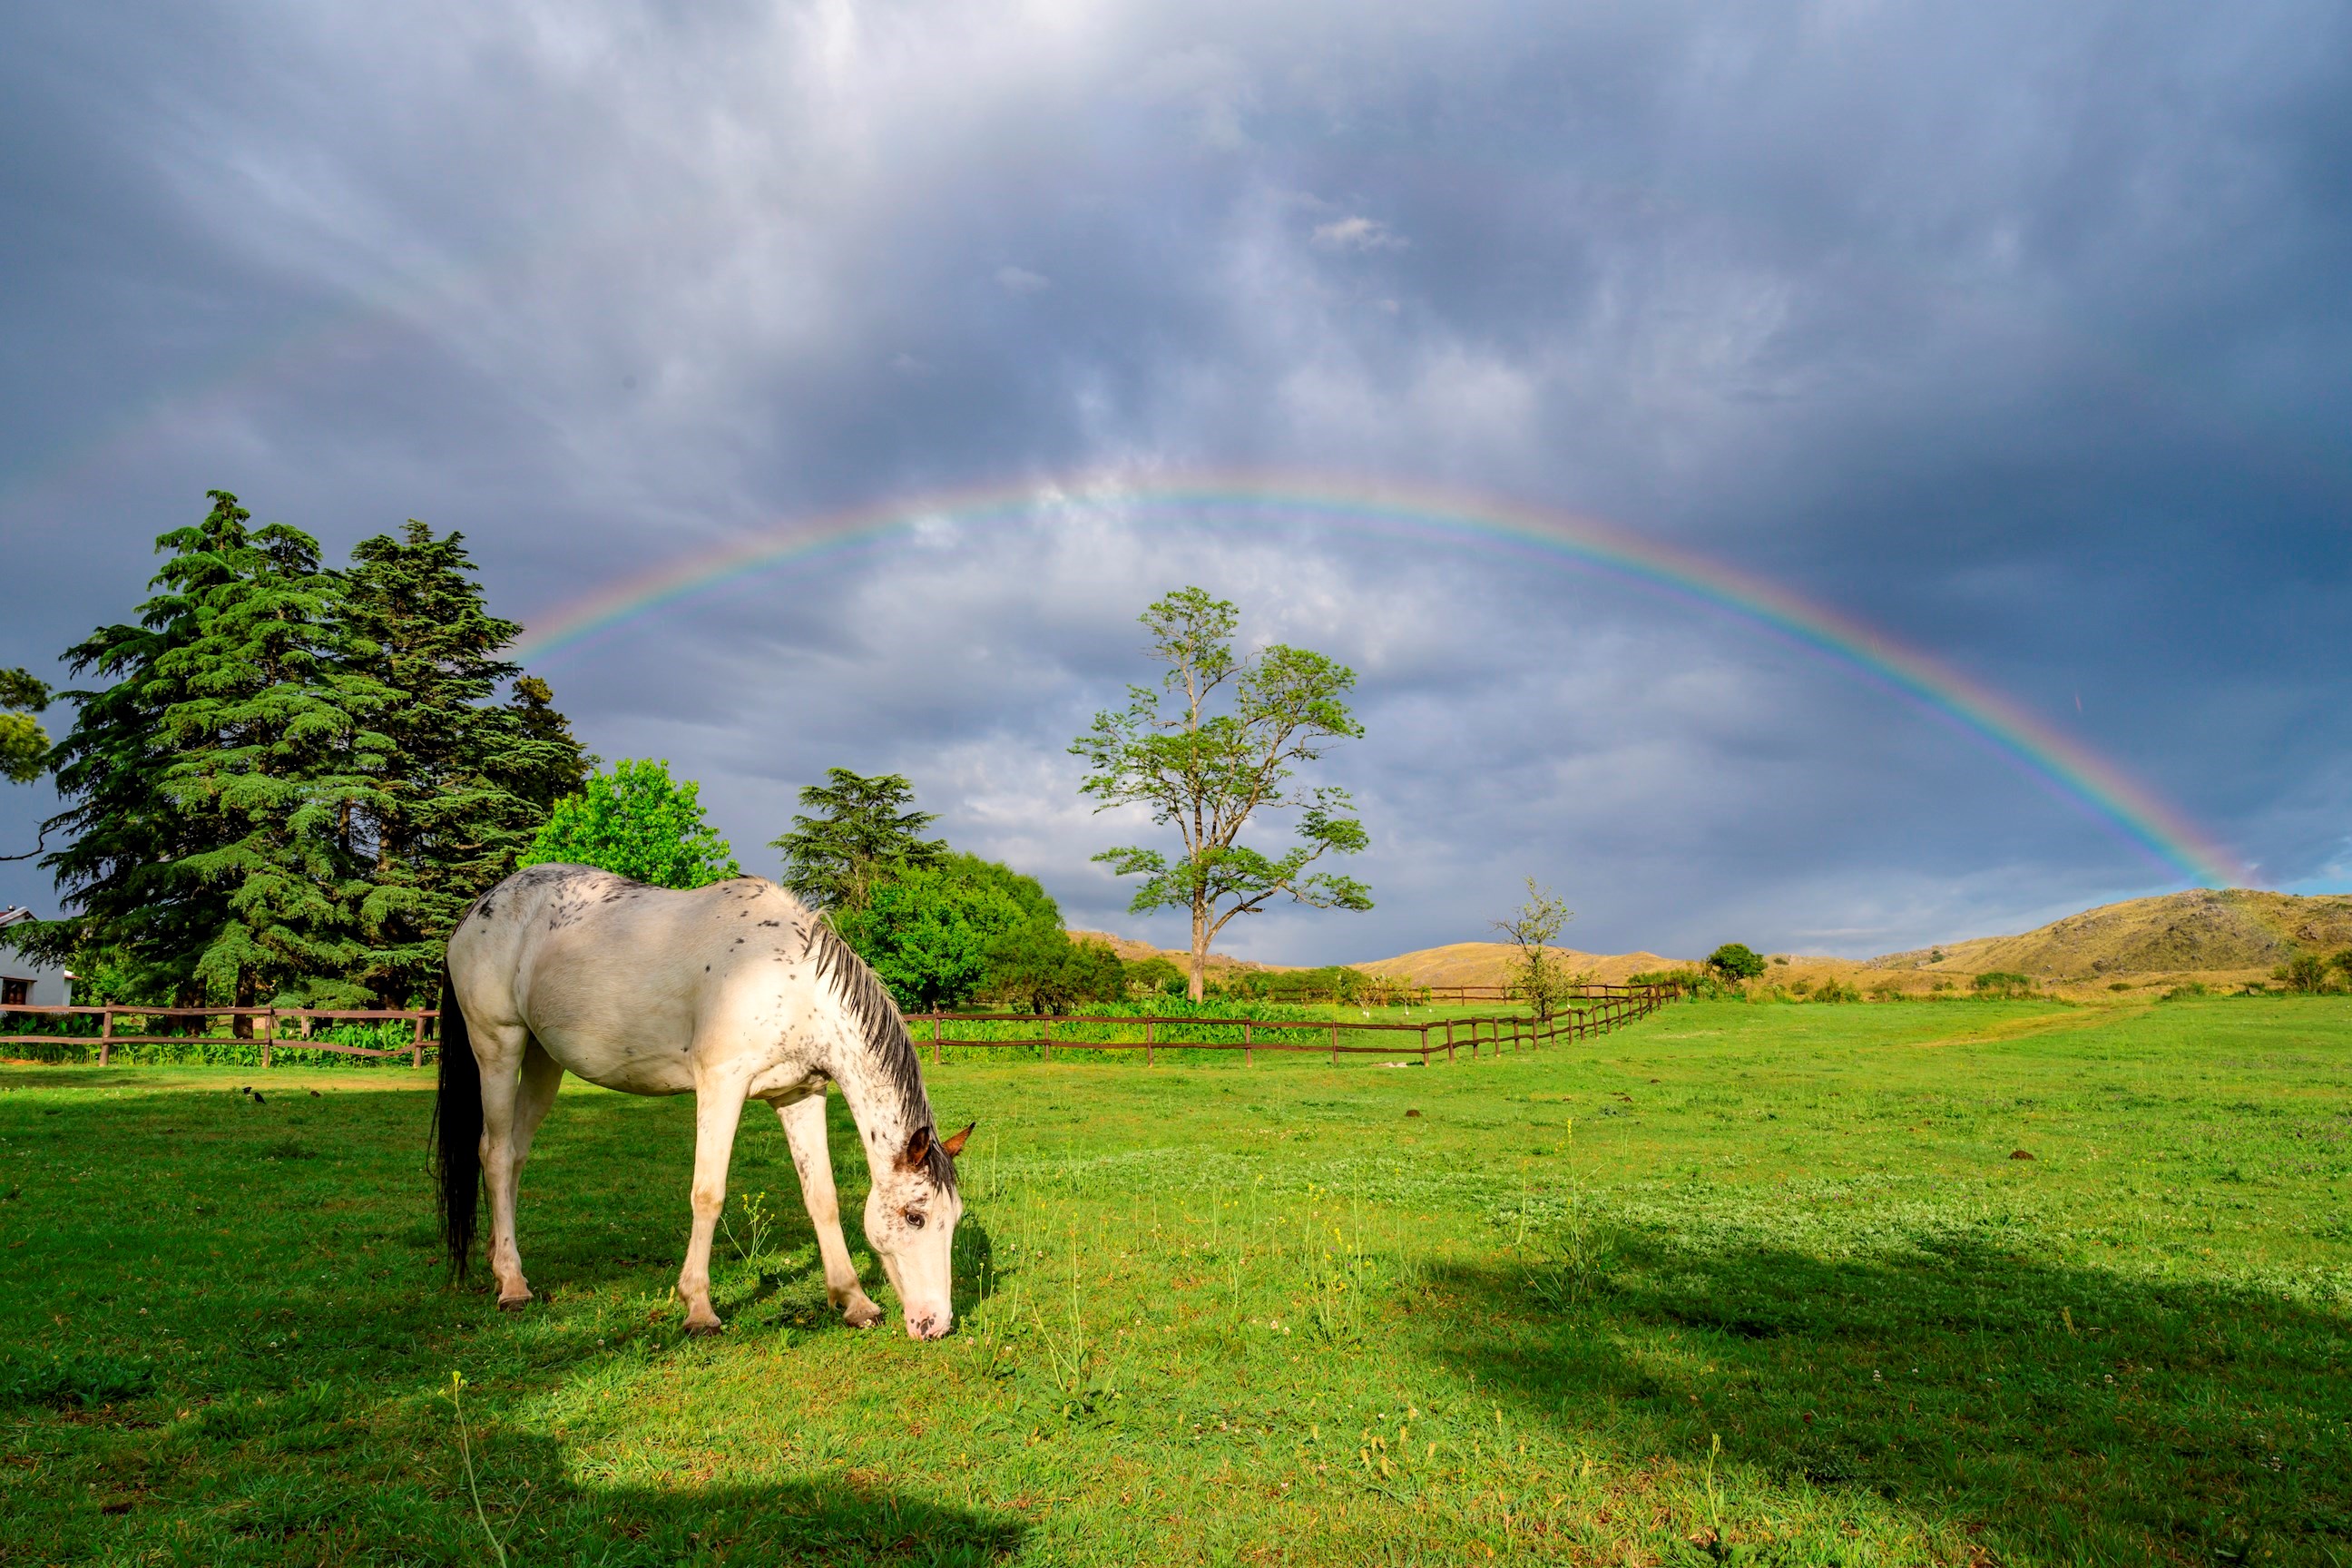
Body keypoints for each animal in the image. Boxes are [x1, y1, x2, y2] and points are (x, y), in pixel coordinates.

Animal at [433, 862, 973, 1339]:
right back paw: (512, 1284)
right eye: (916, 1216)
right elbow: (708, 1195)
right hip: (498, 1047)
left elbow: (822, 1197)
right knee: (495, 1153)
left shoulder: (800, 1094)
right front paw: (698, 1309)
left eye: (954, 1219)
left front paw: (854, 1300)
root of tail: (476, 911)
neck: (790, 983)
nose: (936, 1325)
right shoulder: (721, 1086)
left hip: (544, 1061)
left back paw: (500, 1260)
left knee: (515, 1154)